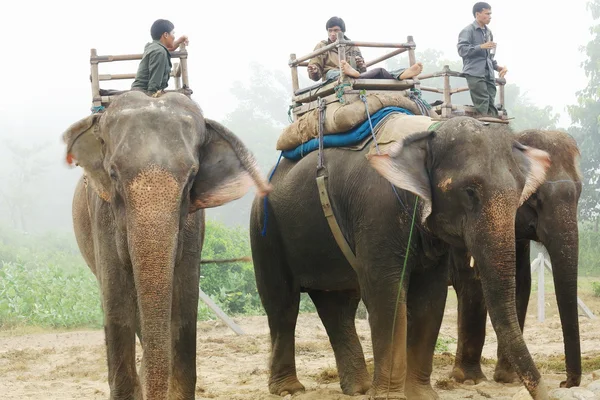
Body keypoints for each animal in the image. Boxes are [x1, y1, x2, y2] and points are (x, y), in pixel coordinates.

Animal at [61, 91, 270, 400]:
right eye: (113, 174)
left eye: (192, 177)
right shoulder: (102, 216)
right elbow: (117, 305)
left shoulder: (193, 225)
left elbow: (184, 304)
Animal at [248, 116, 552, 400]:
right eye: (469, 191)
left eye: (520, 194)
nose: (548, 393)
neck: (427, 133)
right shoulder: (377, 212)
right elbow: (387, 295)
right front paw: (389, 396)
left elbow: (430, 297)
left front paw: (421, 395)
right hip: (264, 231)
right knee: (282, 304)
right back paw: (289, 389)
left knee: (337, 305)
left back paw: (358, 388)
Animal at [450, 128, 580, 388]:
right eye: (535, 198)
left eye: (580, 193)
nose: (565, 383)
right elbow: (473, 284)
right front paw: (468, 380)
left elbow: (521, 284)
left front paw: (508, 379)